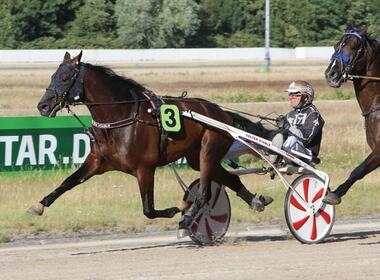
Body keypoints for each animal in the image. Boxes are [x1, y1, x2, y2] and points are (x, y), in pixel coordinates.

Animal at [29, 52, 274, 232]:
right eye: (53, 76)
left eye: (64, 78)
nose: (42, 106)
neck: (120, 117)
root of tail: (222, 113)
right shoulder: (97, 162)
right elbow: (67, 182)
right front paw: (39, 205)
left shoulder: (145, 168)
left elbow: (148, 209)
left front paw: (177, 209)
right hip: (198, 157)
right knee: (230, 178)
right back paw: (256, 201)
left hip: (209, 150)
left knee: (205, 192)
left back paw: (189, 218)